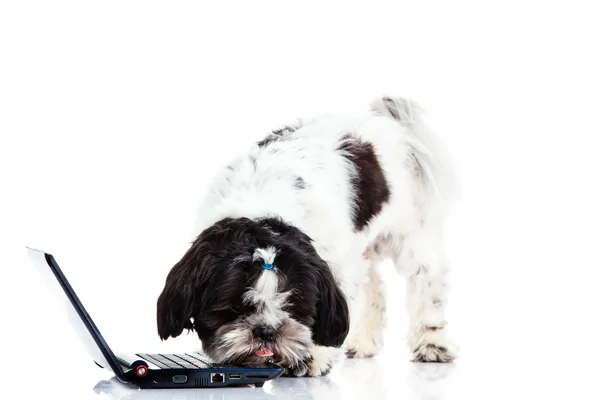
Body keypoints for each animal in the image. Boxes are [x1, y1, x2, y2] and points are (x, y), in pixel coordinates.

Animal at [157, 95, 458, 376]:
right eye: (233, 307)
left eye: (293, 305)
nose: (266, 331)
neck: (262, 206)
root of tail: (386, 118)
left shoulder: (337, 268)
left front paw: (313, 358)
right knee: (375, 290)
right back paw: (364, 342)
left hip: (411, 235)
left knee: (427, 282)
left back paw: (432, 343)